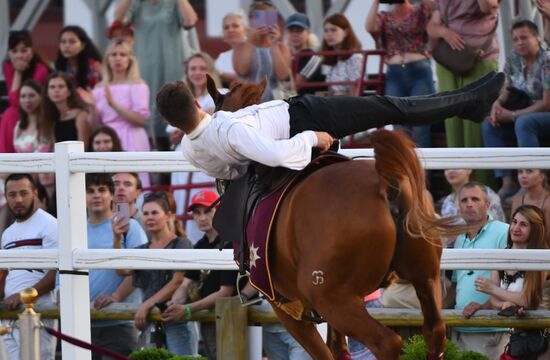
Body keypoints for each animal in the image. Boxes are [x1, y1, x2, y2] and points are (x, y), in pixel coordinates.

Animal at [209, 76, 468, 360]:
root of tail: (385, 183)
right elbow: (338, 348)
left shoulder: (287, 307)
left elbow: (323, 352)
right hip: (425, 277)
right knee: (434, 332)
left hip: (332, 298)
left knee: (387, 342)